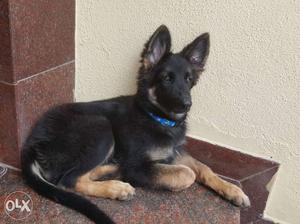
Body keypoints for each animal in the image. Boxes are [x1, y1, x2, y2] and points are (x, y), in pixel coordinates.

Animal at [21, 25, 251, 223]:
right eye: (167, 78)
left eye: (188, 79)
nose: (187, 105)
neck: (156, 117)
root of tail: (32, 142)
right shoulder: (138, 164)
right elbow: (188, 173)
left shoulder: (175, 152)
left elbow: (204, 168)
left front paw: (233, 190)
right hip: (100, 127)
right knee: (68, 180)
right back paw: (117, 187)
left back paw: (110, 170)